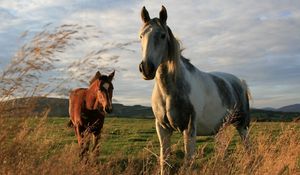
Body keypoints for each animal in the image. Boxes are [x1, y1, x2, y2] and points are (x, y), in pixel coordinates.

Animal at [138, 5, 251, 175]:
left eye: (163, 35)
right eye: (140, 36)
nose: (146, 68)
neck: (168, 92)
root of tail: (240, 82)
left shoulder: (189, 128)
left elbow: (188, 160)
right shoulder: (162, 129)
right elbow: (164, 160)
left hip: (242, 126)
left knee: (248, 148)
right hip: (220, 128)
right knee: (221, 151)